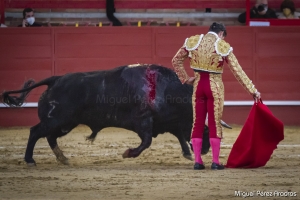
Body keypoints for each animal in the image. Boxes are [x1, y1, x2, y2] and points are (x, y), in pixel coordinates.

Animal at [1, 64, 230, 166]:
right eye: (206, 130)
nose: (206, 150)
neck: (167, 89)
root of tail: (55, 79)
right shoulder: (144, 121)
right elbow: (147, 142)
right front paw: (128, 153)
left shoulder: (165, 121)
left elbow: (179, 134)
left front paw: (187, 153)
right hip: (56, 119)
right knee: (35, 132)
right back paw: (30, 160)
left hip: (65, 123)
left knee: (49, 137)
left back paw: (63, 158)